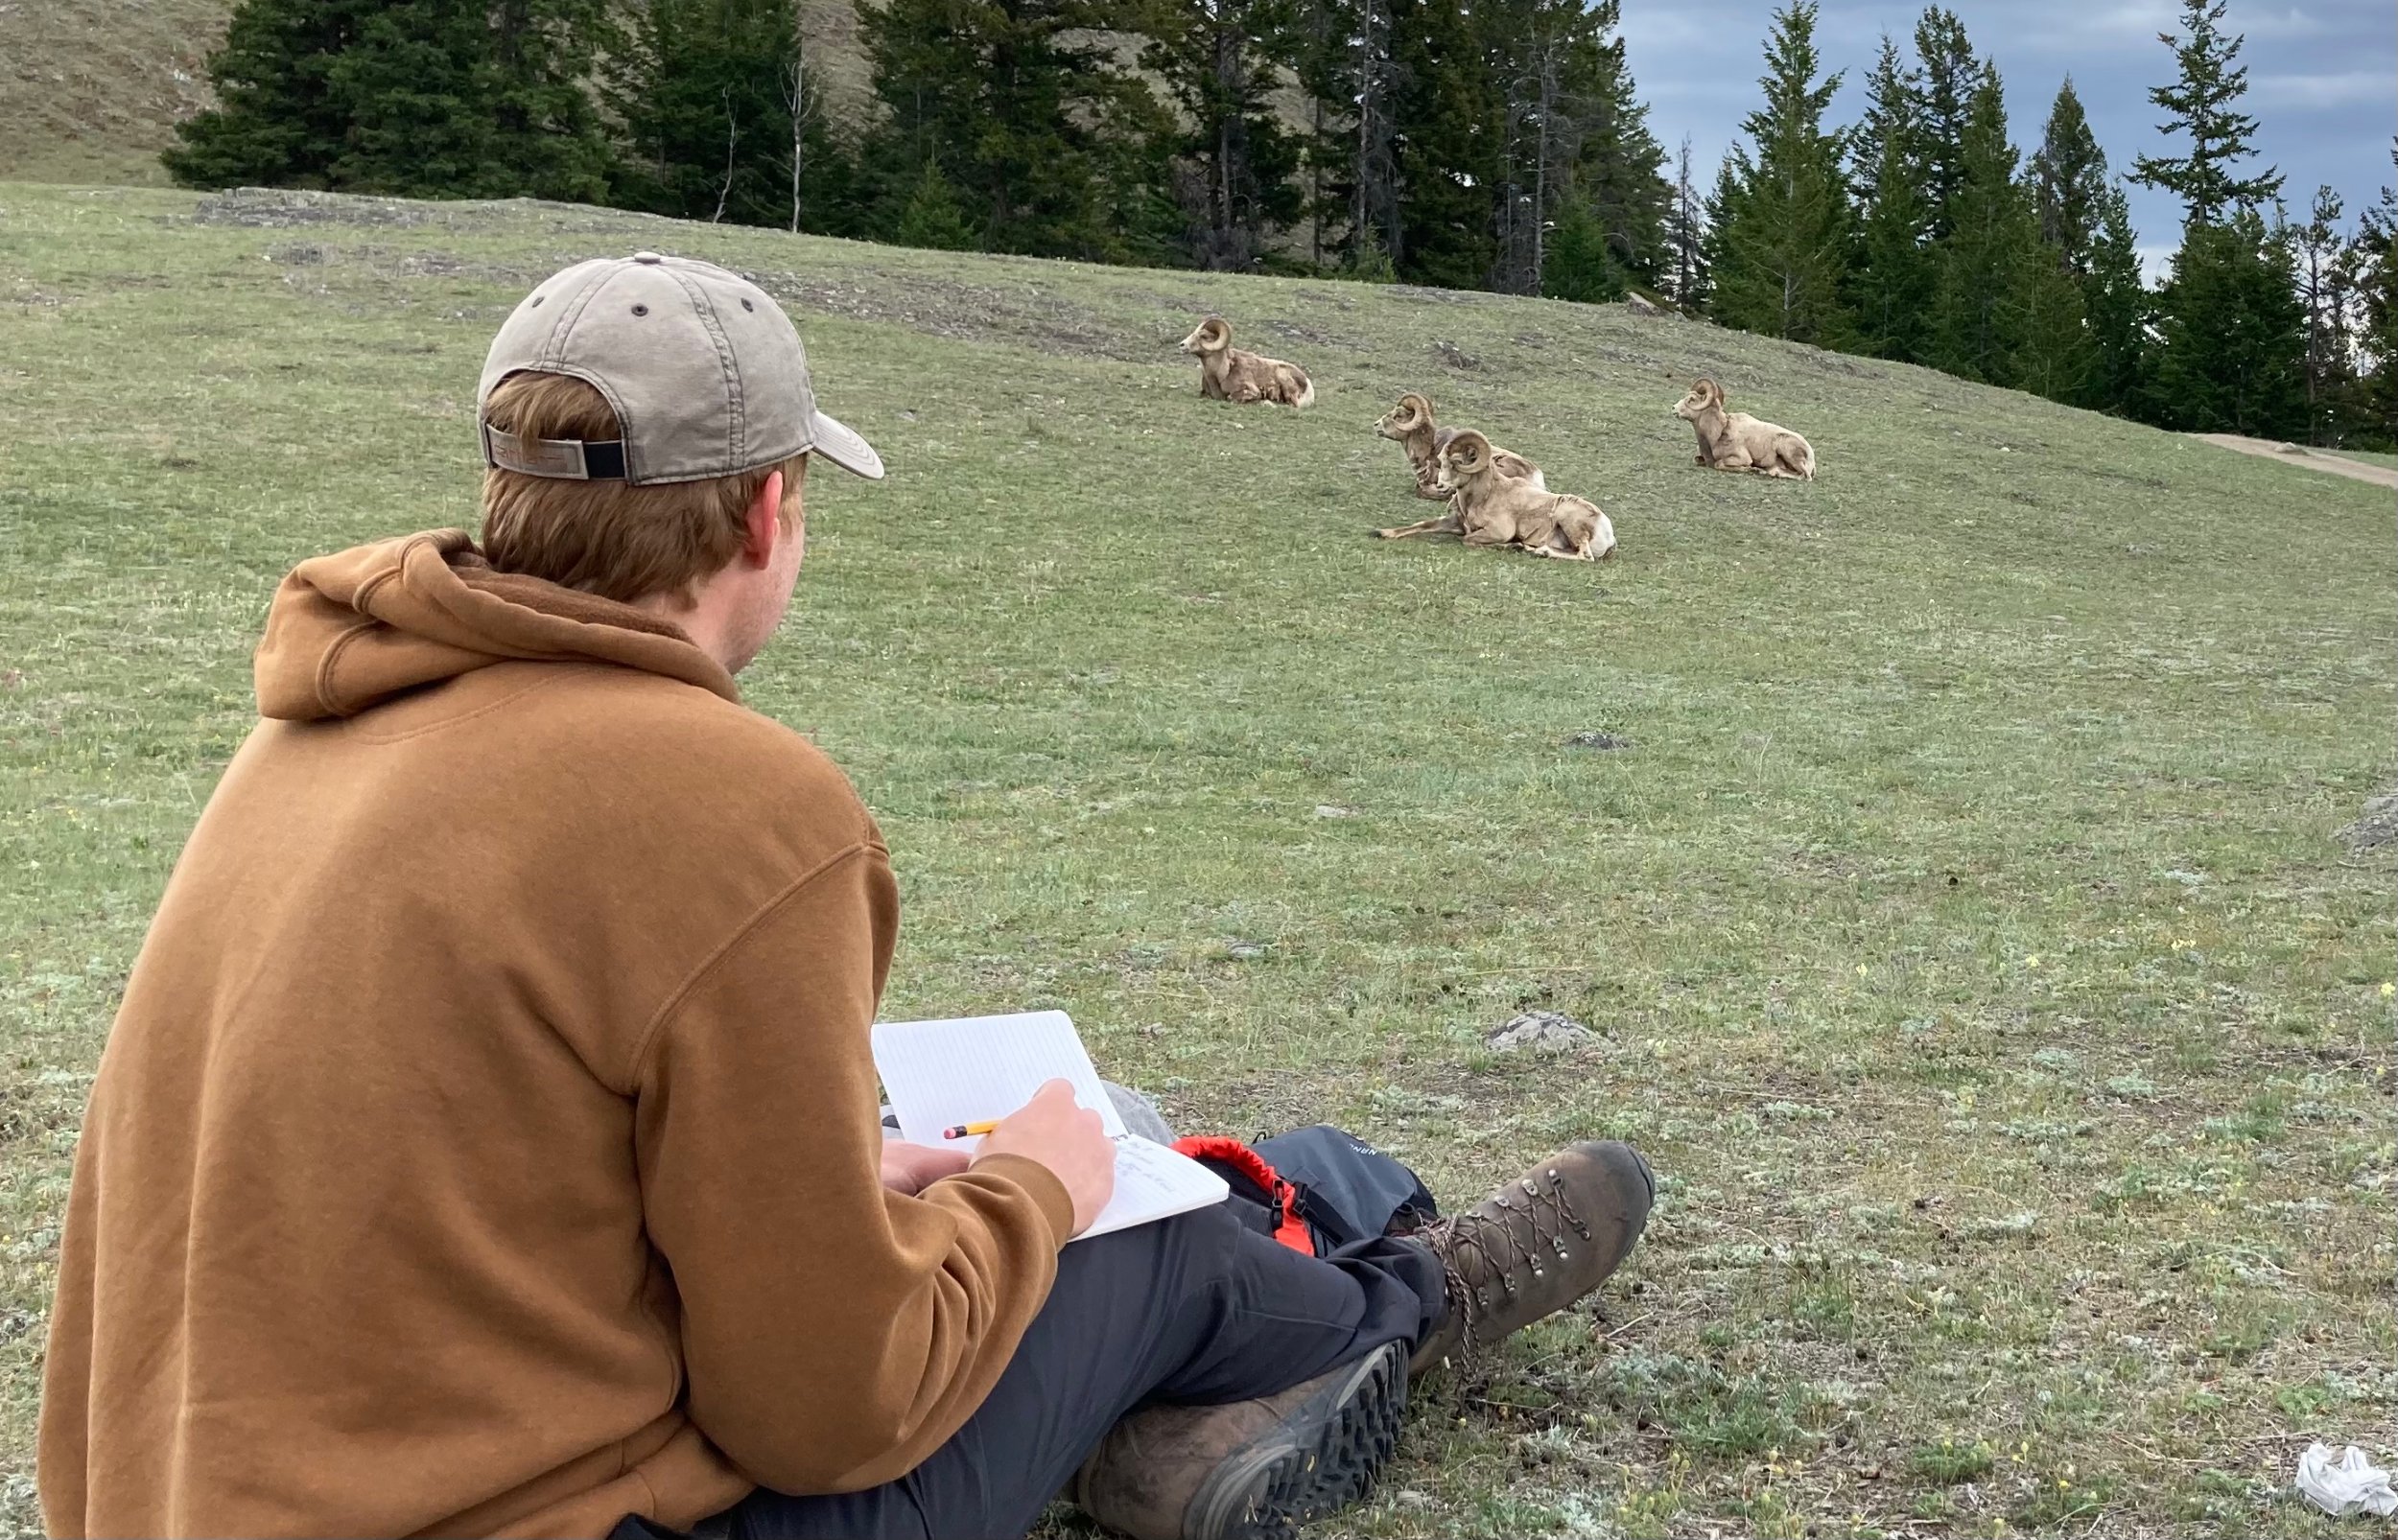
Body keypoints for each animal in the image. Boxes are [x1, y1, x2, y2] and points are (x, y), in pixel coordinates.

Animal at [1175, 316, 1314, 405]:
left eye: (1203, 336)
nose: (1182, 345)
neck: (1222, 373)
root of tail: (1308, 385)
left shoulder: (1250, 390)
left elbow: (1231, 397)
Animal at [1429, 429, 1621, 561]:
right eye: (1441, 460)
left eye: (1456, 462)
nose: (1440, 485)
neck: (1484, 498)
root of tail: (1608, 535)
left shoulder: (1499, 531)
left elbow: (1467, 539)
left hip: (1567, 518)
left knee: (1585, 556)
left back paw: (1540, 551)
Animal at [1669, 376, 1813, 475]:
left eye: (1691, 399)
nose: (1673, 408)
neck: (1719, 433)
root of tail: (1811, 455)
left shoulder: (1740, 458)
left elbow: (1719, 464)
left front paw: (1752, 469)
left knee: (1804, 476)